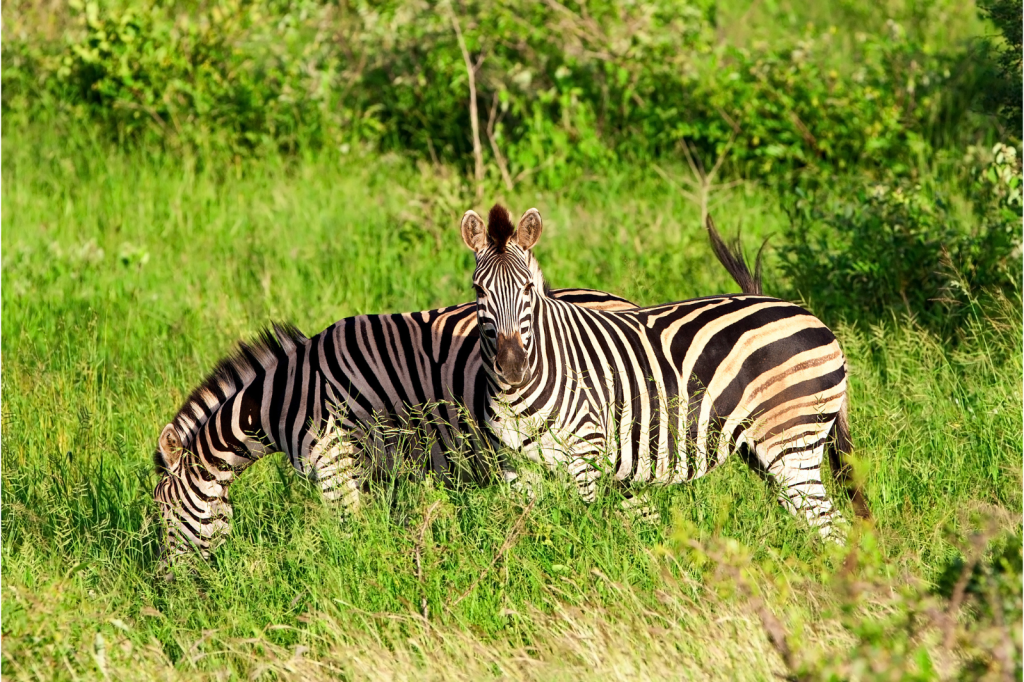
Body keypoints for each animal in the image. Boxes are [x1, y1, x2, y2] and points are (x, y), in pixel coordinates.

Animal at [152, 284, 634, 561]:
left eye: (162, 514)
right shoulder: (378, 470)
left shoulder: (334, 466)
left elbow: (348, 537)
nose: (168, 585)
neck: (281, 400)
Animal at [464, 201, 872, 536]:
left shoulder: (585, 457)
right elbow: (524, 537)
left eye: (527, 289)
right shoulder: (513, 465)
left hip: (792, 439)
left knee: (830, 524)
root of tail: (811, 317)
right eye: (479, 291)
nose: (512, 367)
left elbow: (582, 537)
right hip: (763, 449)